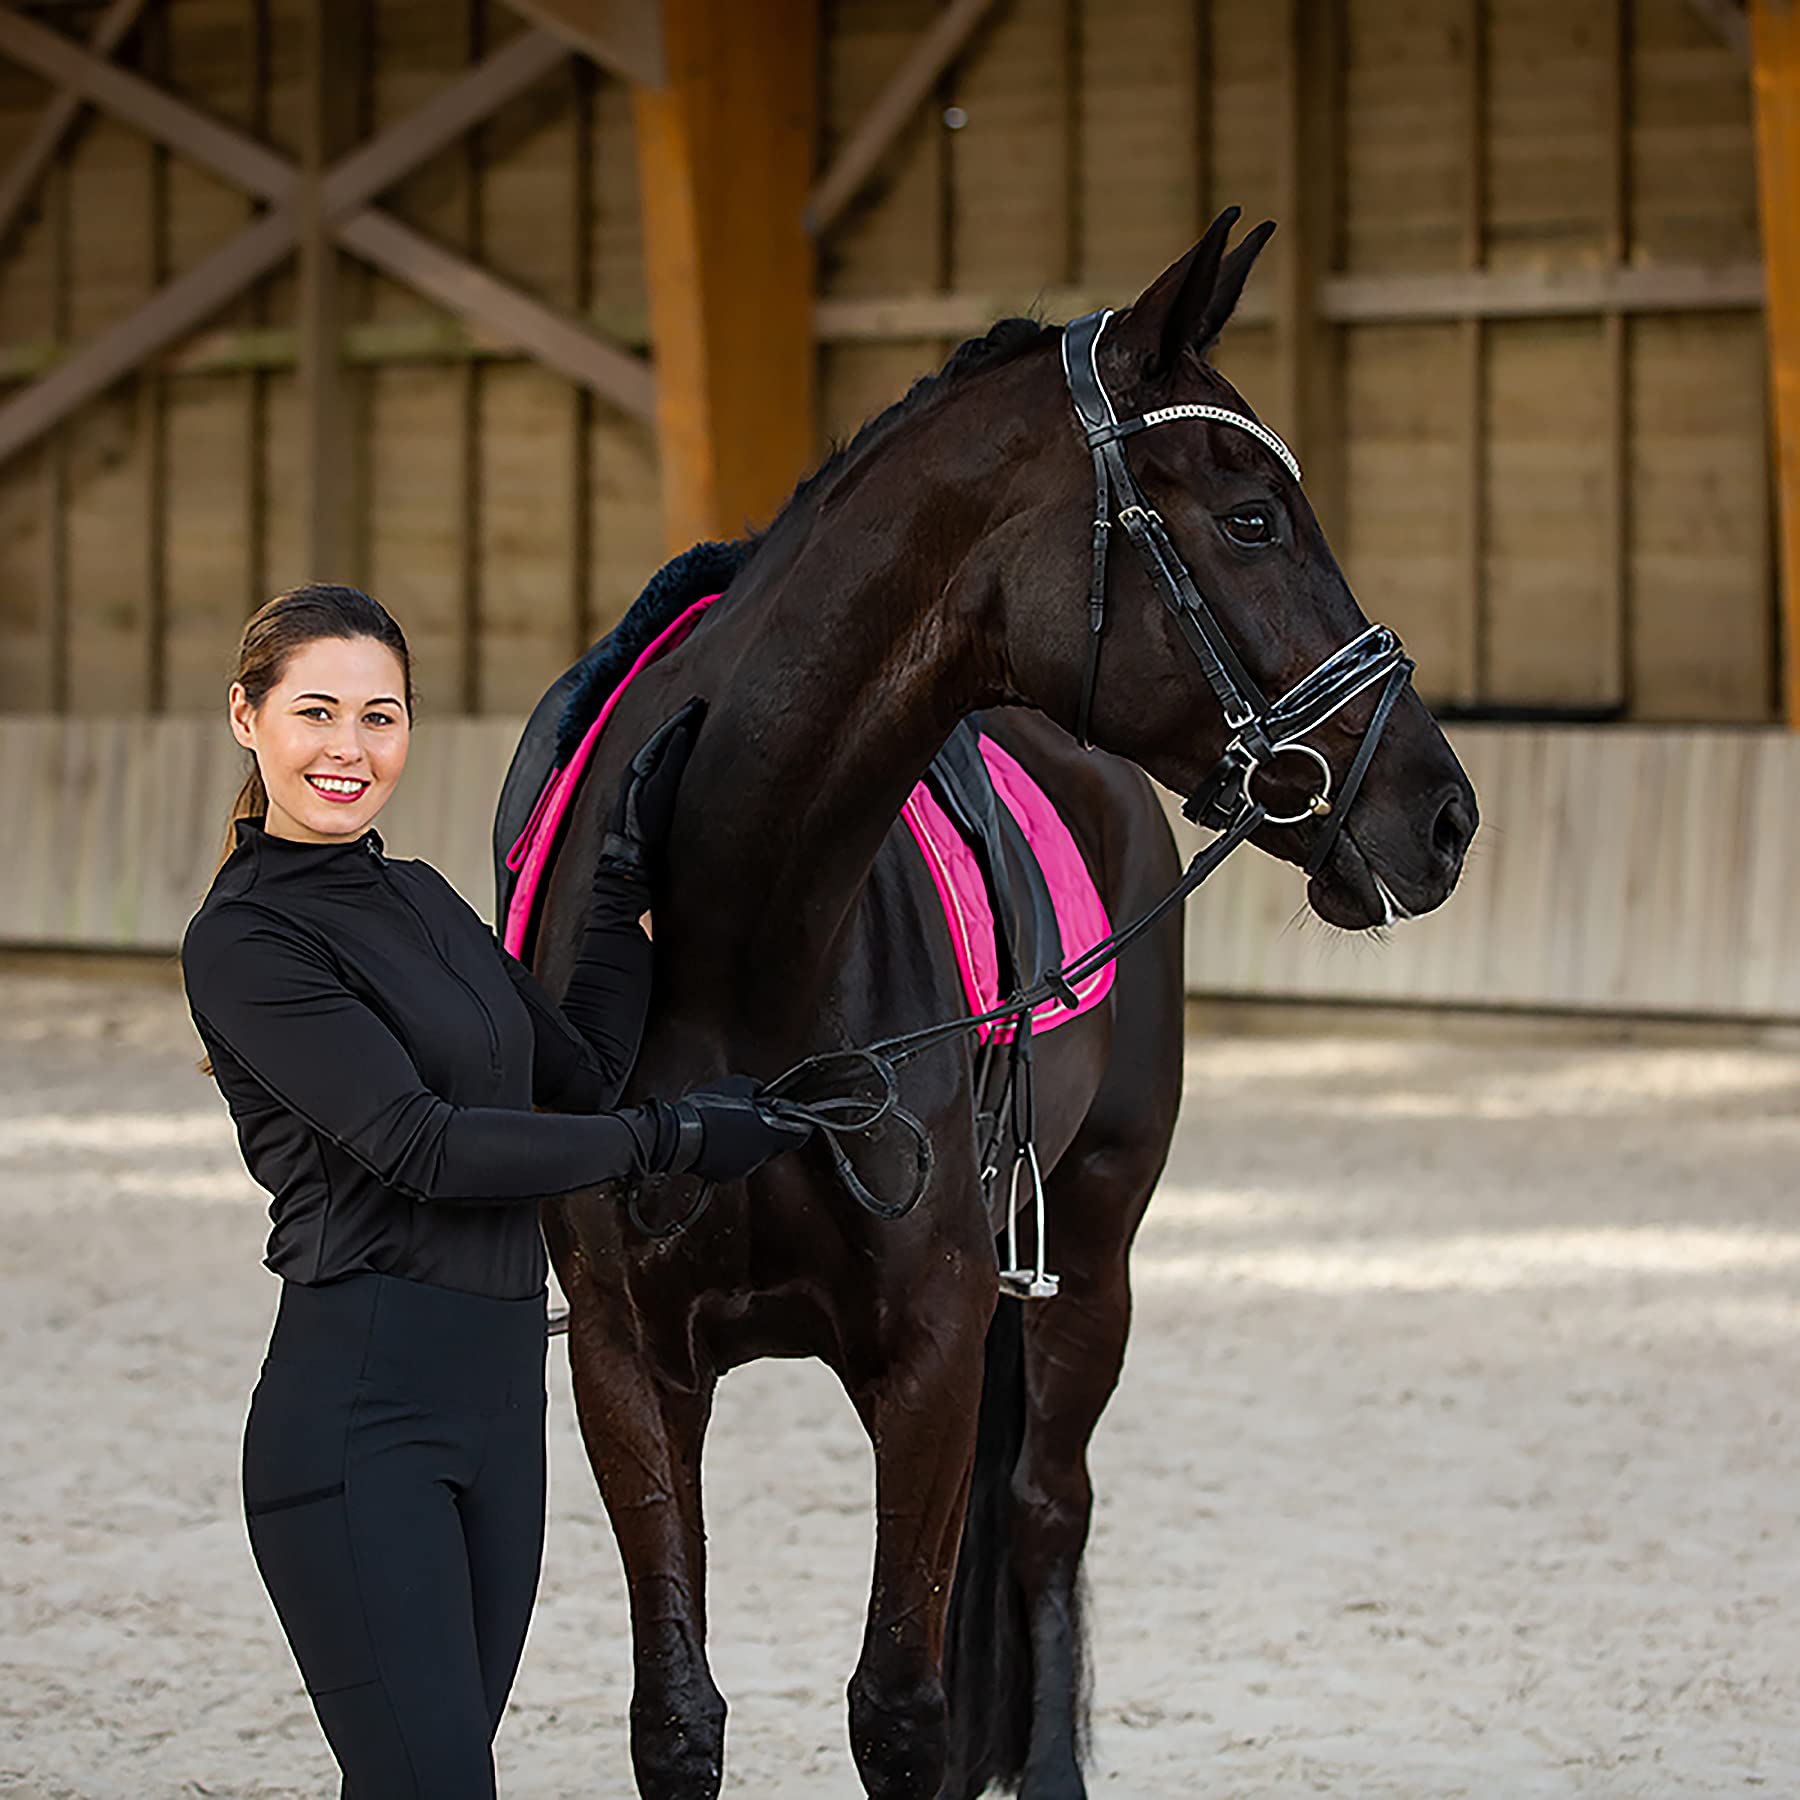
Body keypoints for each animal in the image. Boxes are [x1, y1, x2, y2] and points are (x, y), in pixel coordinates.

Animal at [517, 208, 1478, 1799]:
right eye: (1254, 520)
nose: (1444, 812)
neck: (738, 944)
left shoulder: (933, 1346)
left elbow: (900, 1710)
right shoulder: (623, 1356)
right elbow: (679, 1712)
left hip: (1090, 1253)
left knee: (1044, 1514)